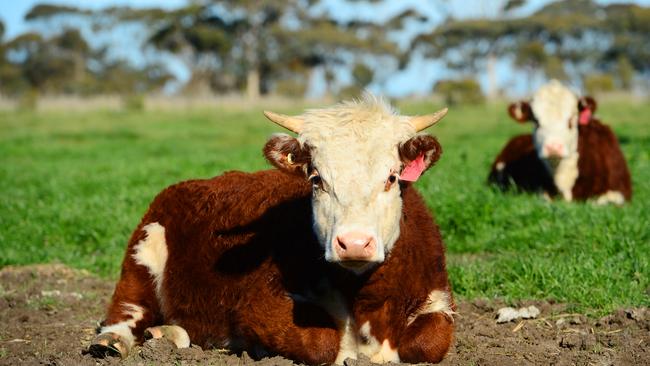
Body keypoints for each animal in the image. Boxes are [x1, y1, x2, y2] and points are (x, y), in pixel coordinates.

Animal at [88, 96, 454, 364]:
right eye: (317, 179)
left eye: (392, 177)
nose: (353, 243)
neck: (363, 302)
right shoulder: (259, 302)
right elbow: (320, 341)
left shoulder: (438, 297)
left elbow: (430, 341)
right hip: (144, 249)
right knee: (128, 309)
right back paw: (111, 342)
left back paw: (169, 334)